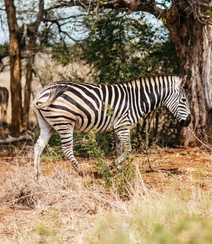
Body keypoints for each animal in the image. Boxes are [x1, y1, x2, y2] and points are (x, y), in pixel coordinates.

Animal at [32, 73, 190, 178]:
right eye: (183, 100)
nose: (188, 121)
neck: (138, 99)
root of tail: (43, 90)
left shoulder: (118, 128)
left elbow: (120, 150)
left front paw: (120, 170)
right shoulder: (123, 126)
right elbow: (128, 150)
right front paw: (109, 167)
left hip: (48, 125)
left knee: (38, 146)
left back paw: (37, 175)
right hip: (65, 123)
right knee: (66, 149)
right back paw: (80, 171)